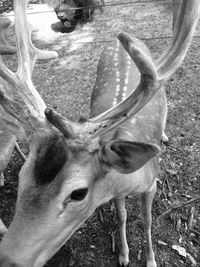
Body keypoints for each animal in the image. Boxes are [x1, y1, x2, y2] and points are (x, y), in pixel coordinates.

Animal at [0, 0, 198, 266]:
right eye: (22, 174)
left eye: (78, 193)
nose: (7, 259)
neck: (132, 180)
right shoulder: (116, 191)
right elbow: (122, 216)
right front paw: (124, 255)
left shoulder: (151, 183)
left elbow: (147, 221)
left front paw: (150, 259)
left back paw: (165, 135)